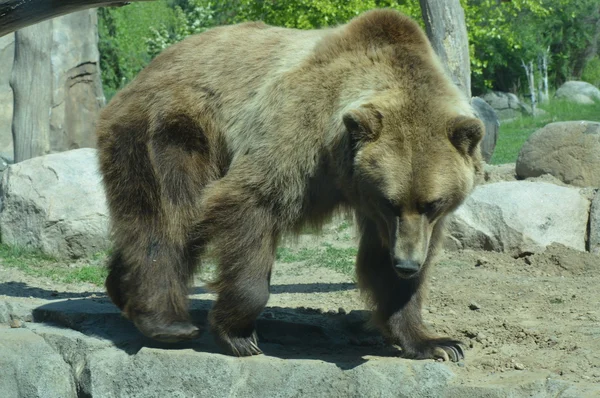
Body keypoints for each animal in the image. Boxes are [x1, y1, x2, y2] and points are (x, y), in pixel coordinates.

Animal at [97, 8, 482, 364]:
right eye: (390, 201)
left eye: (432, 203)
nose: (406, 264)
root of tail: (144, 72)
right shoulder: (297, 132)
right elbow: (252, 200)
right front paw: (238, 335)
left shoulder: (395, 212)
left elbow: (389, 263)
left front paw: (436, 342)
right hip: (172, 128)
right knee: (168, 215)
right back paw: (167, 323)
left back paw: (122, 290)